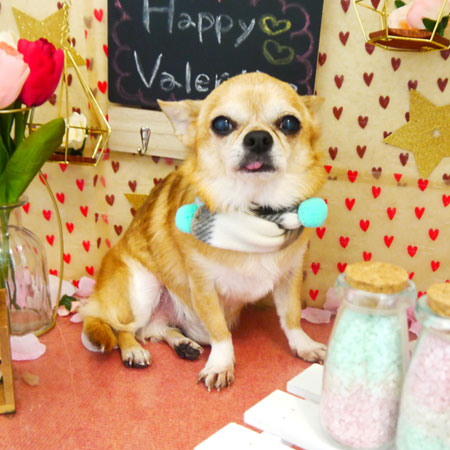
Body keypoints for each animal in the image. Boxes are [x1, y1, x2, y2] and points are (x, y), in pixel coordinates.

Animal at [80, 72, 327, 391]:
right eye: (222, 124)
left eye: (289, 123)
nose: (258, 137)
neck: (255, 211)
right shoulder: (203, 286)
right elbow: (221, 332)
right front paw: (221, 364)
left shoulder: (289, 276)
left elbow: (292, 316)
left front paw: (303, 345)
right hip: (143, 288)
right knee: (123, 327)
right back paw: (133, 351)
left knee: (154, 329)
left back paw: (182, 343)